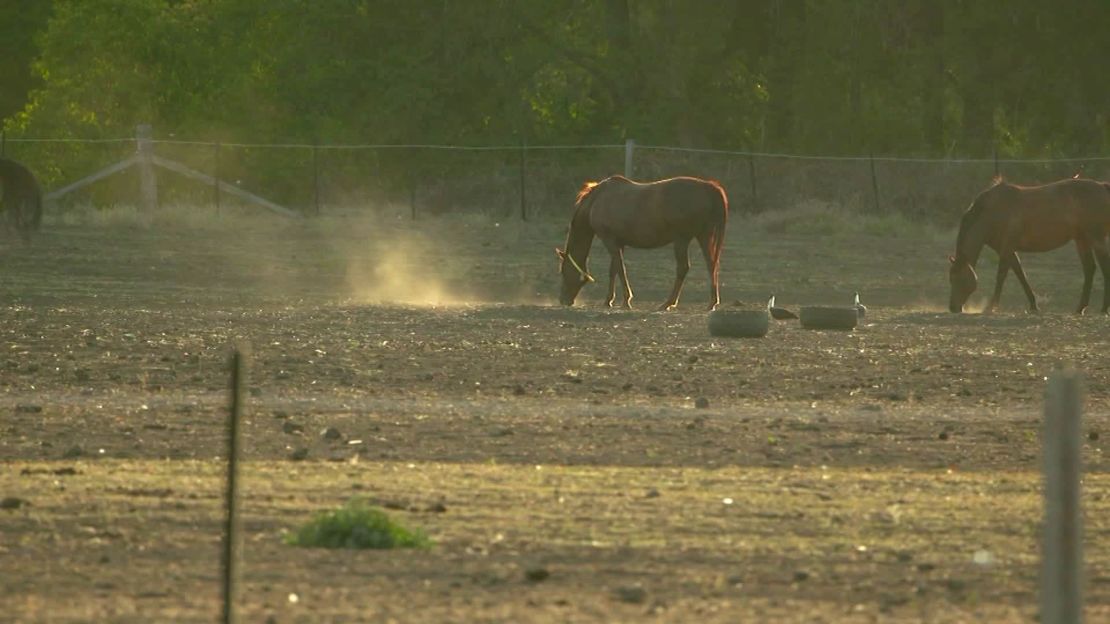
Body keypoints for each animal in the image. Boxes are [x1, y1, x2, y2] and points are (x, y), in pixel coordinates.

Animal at [555, 173, 728, 308]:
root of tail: (708, 187)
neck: (597, 201)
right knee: (712, 265)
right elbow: (614, 269)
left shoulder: (609, 240)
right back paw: (712, 303)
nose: (563, 300)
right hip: (703, 236)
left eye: (563, 271)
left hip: (682, 240)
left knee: (683, 268)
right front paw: (608, 300)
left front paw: (626, 300)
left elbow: (620, 268)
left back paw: (668, 303)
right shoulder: (619, 243)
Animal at [950, 176, 1110, 313]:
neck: (992, 213)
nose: (953, 308)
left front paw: (991, 307)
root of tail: (1103, 187)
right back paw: (1080, 308)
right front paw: (1034, 306)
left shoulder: (1007, 248)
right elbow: (1021, 274)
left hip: (1096, 238)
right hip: (1082, 240)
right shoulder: (1007, 249)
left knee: (1104, 266)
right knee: (1089, 269)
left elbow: (1001, 275)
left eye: (957, 278)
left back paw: (1103, 309)